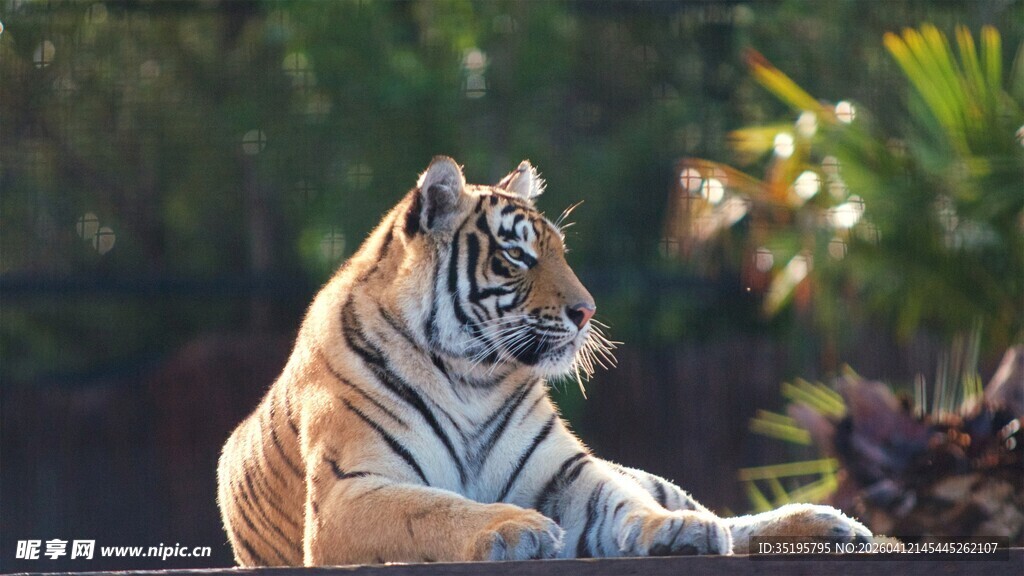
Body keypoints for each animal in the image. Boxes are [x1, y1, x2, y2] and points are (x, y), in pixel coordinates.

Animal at [216, 156, 872, 566]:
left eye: (560, 251)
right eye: (517, 256)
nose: (587, 310)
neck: (469, 376)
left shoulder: (568, 471)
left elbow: (625, 503)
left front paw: (675, 533)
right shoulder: (349, 492)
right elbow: (434, 508)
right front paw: (513, 527)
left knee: (715, 515)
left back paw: (829, 525)